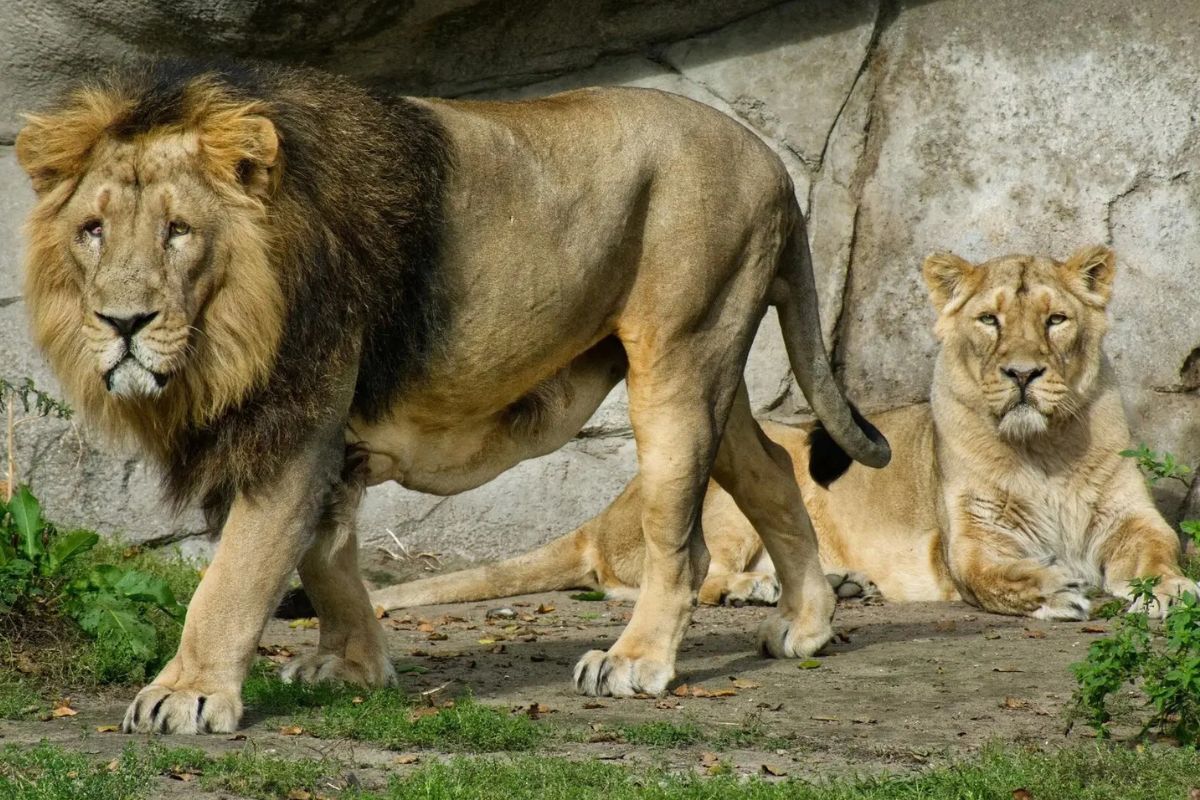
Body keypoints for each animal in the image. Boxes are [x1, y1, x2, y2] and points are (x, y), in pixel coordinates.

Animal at [15, 60, 890, 733]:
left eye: (178, 232)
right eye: (93, 229)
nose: (123, 322)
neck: (228, 332)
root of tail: (773, 165)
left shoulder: (298, 423)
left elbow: (236, 574)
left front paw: (186, 695)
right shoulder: (318, 437)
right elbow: (325, 556)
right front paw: (355, 667)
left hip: (680, 354)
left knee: (683, 540)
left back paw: (636, 662)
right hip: (709, 364)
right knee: (771, 467)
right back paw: (807, 625)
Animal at [370, 246, 1196, 622]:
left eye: (1055, 319)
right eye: (991, 320)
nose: (1023, 373)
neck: (1043, 448)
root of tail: (601, 514)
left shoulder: (1131, 517)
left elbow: (1159, 551)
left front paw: (1172, 591)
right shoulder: (967, 542)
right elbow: (1001, 576)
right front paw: (1057, 589)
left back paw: (838, 582)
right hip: (730, 479)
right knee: (666, 576)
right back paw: (762, 589)